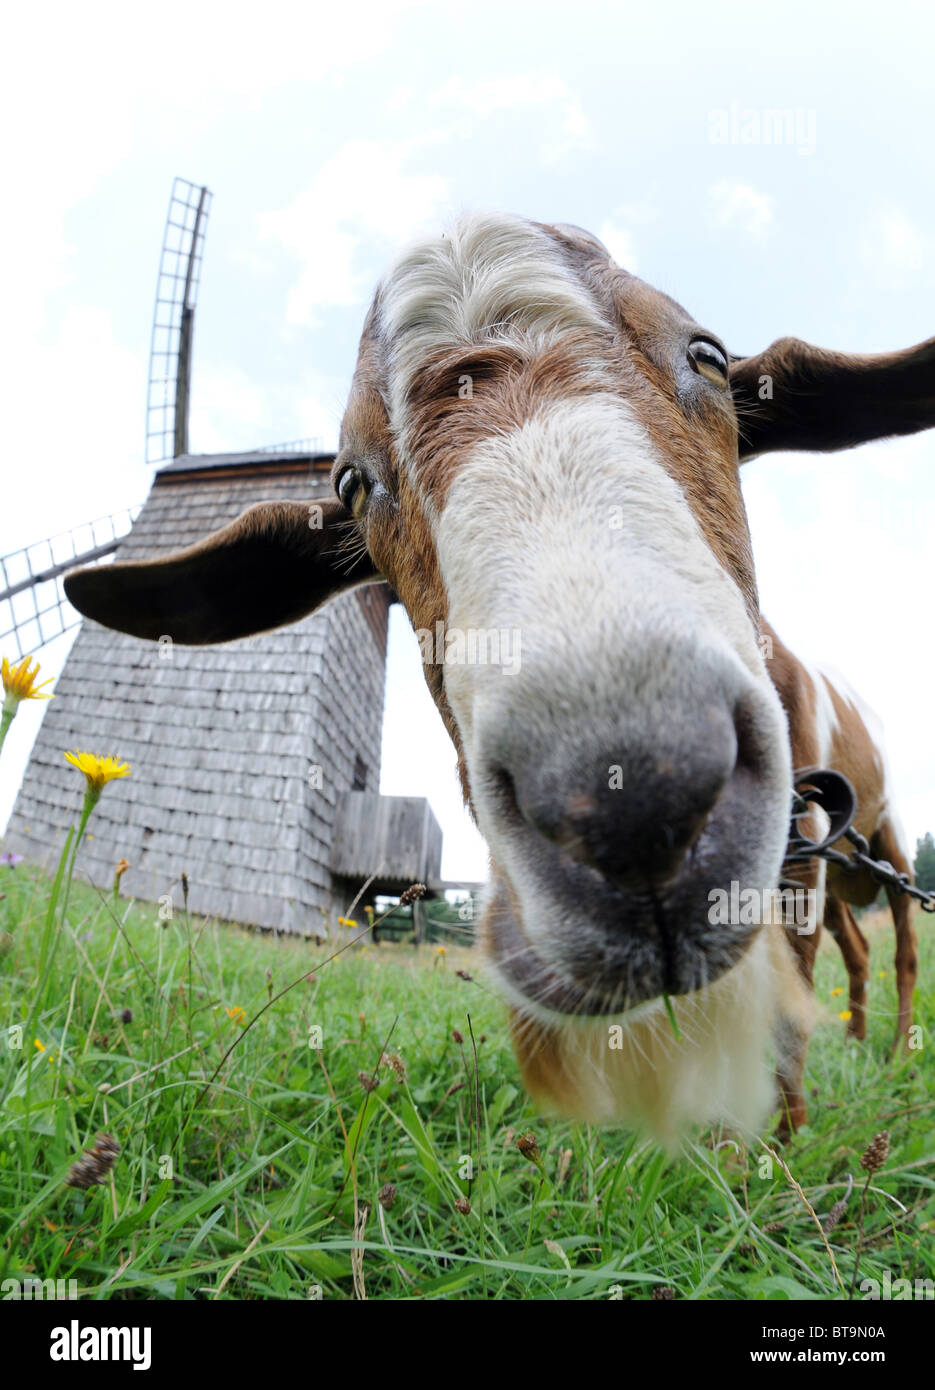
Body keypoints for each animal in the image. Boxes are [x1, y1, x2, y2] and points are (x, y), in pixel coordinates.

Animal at [61, 208, 928, 1139]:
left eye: (707, 354)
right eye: (351, 481)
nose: (630, 792)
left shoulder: (799, 841)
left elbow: (790, 999)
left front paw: (775, 1144)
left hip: (879, 835)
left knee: (901, 941)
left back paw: (894, 1049)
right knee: (859, 946)